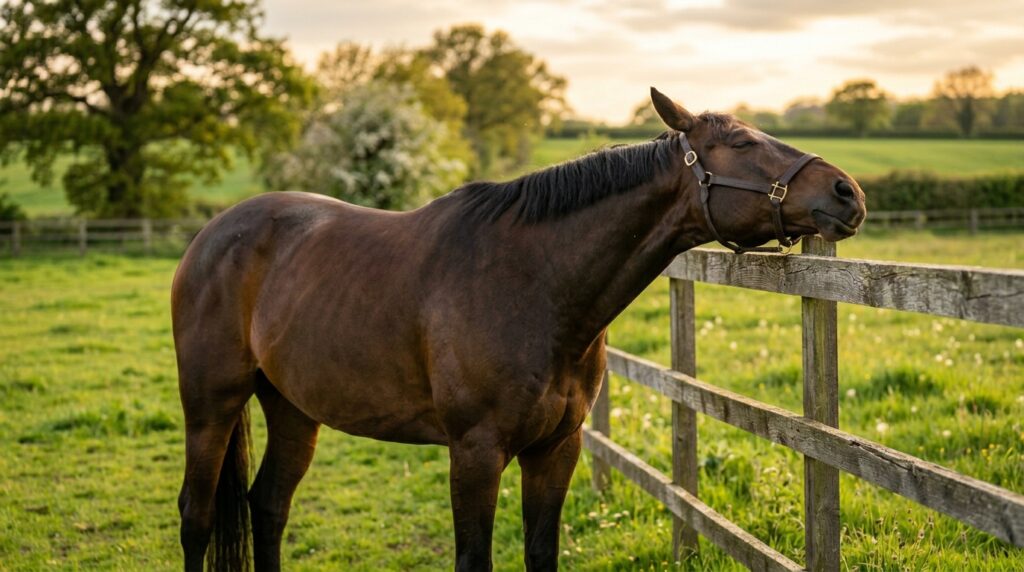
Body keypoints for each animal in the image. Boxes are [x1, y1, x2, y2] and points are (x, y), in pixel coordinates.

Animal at [172, 87, 866, 571]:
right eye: (743, 144)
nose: (847, 191)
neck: (534, 284)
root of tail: (210, 235)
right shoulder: (475, 454)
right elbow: (473, 559)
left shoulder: (555, 449)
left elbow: (540, 553)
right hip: (211, 407)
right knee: (197, 516)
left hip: (293, 408)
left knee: (268, 506)